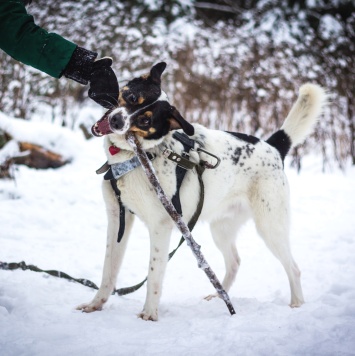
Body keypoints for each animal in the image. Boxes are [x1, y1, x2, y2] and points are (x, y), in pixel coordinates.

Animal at [78, 62, 328, 322]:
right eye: (131, 97)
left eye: (146, 121)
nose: (117, 120)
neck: (136, 156)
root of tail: (273, 147)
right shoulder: (119, 218)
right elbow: (108, 271)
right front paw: (96, 304)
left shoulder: (161, 226)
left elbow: (154, 274)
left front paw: (149, 314)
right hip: (222, 228)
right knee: (234, 262)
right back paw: (219, 297)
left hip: (270, 226)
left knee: (294, 268)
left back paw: (296, 304)